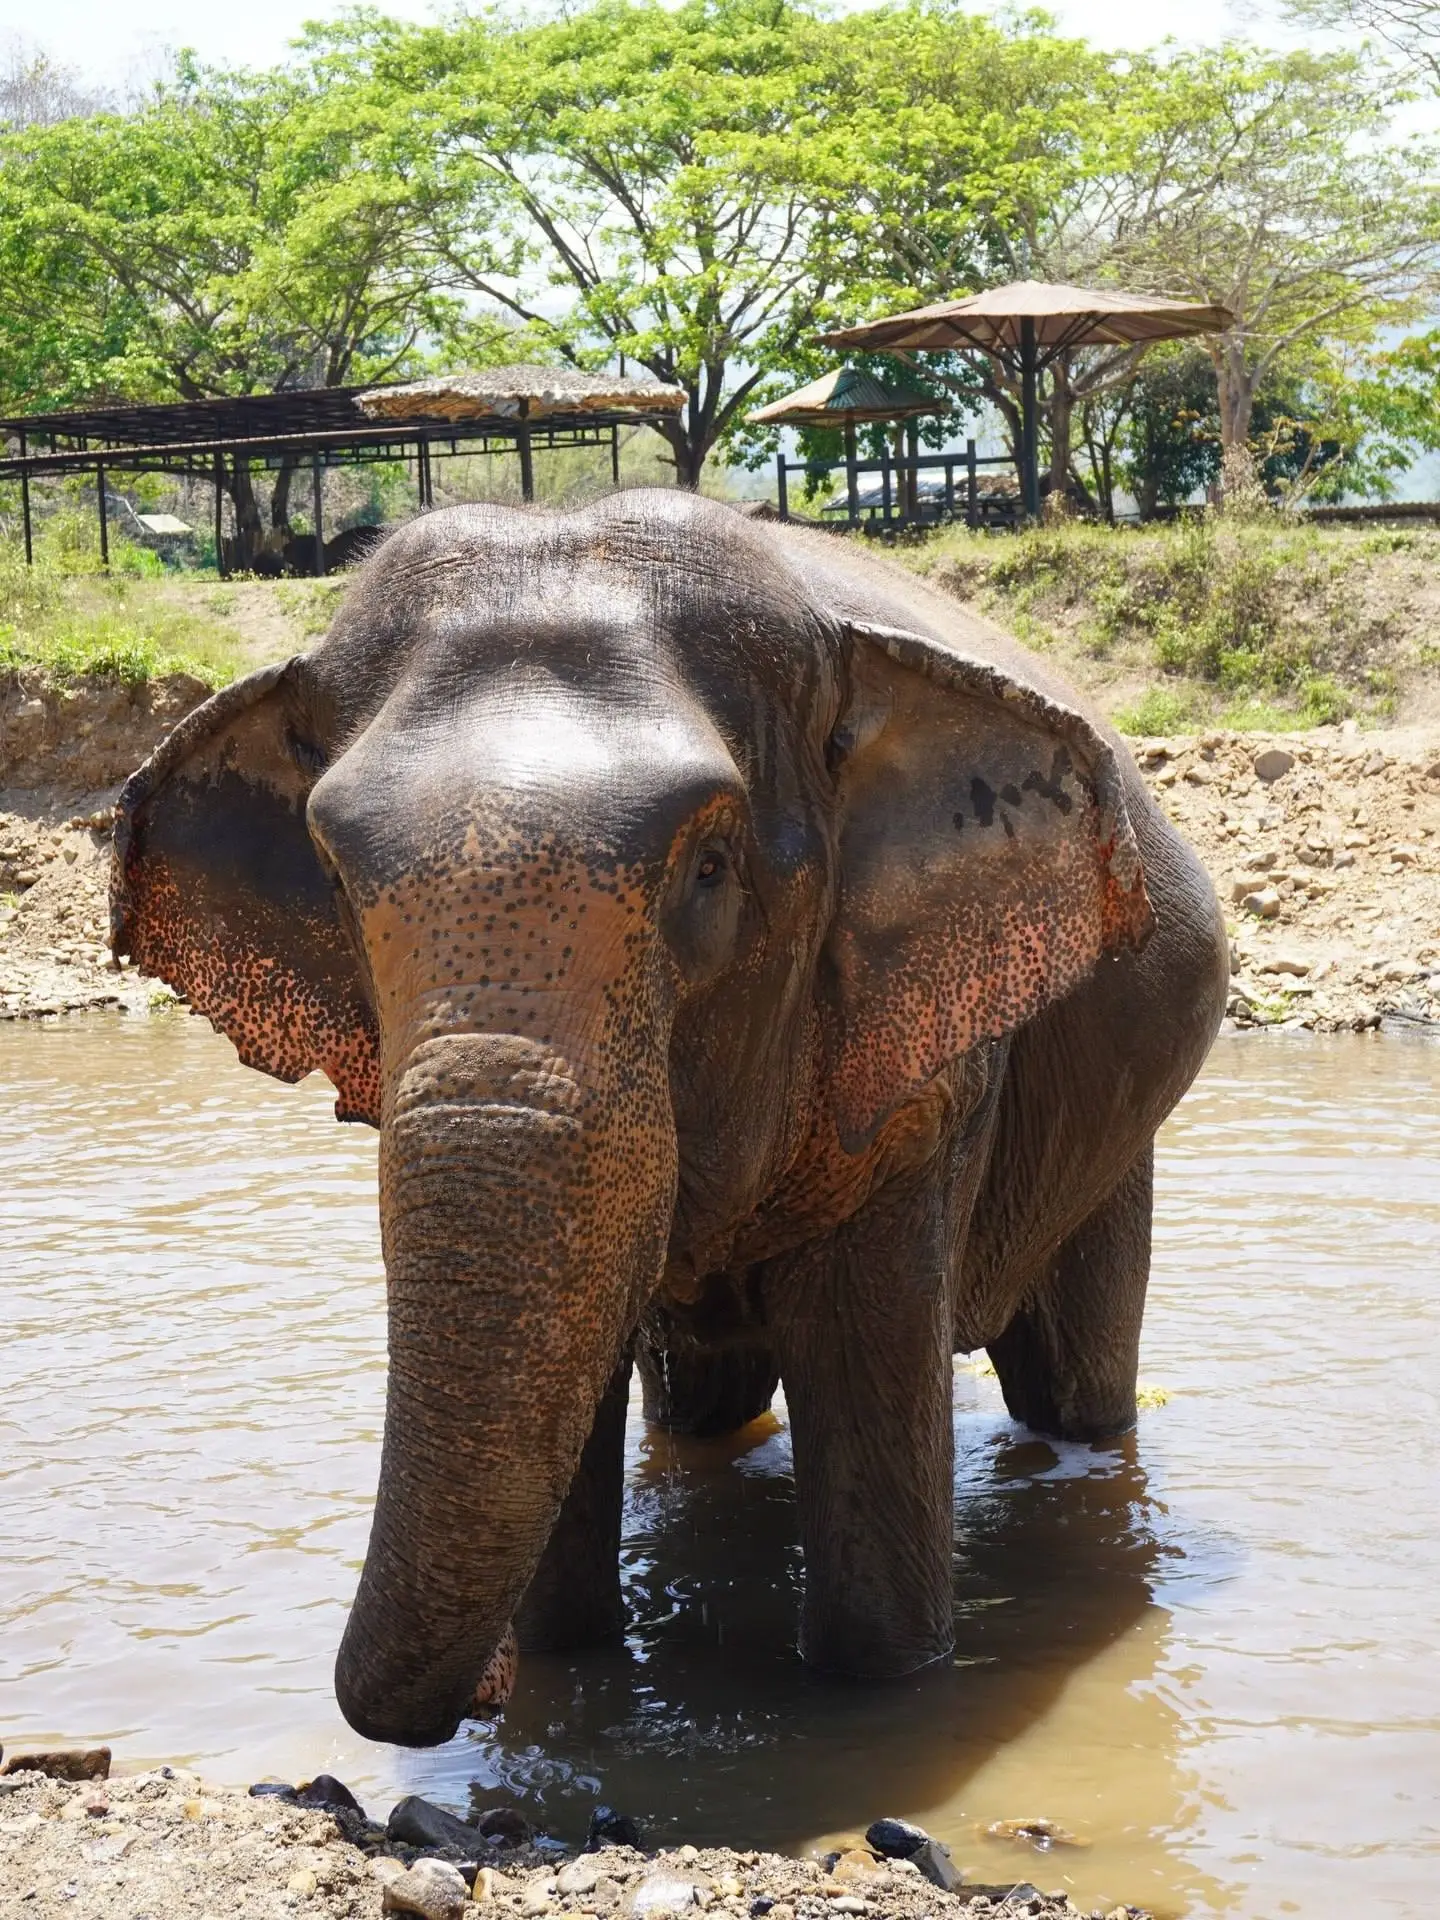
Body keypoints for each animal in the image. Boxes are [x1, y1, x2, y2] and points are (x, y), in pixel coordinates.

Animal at [110, 490, 1227, 1749]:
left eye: (710, 868)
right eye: (337, 880)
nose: (481, 1689)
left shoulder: (929, 1089)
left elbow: (869, 1414)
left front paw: (881, 1697)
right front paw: (560, 1667)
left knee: (1076, 1383)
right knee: (701, 1407)